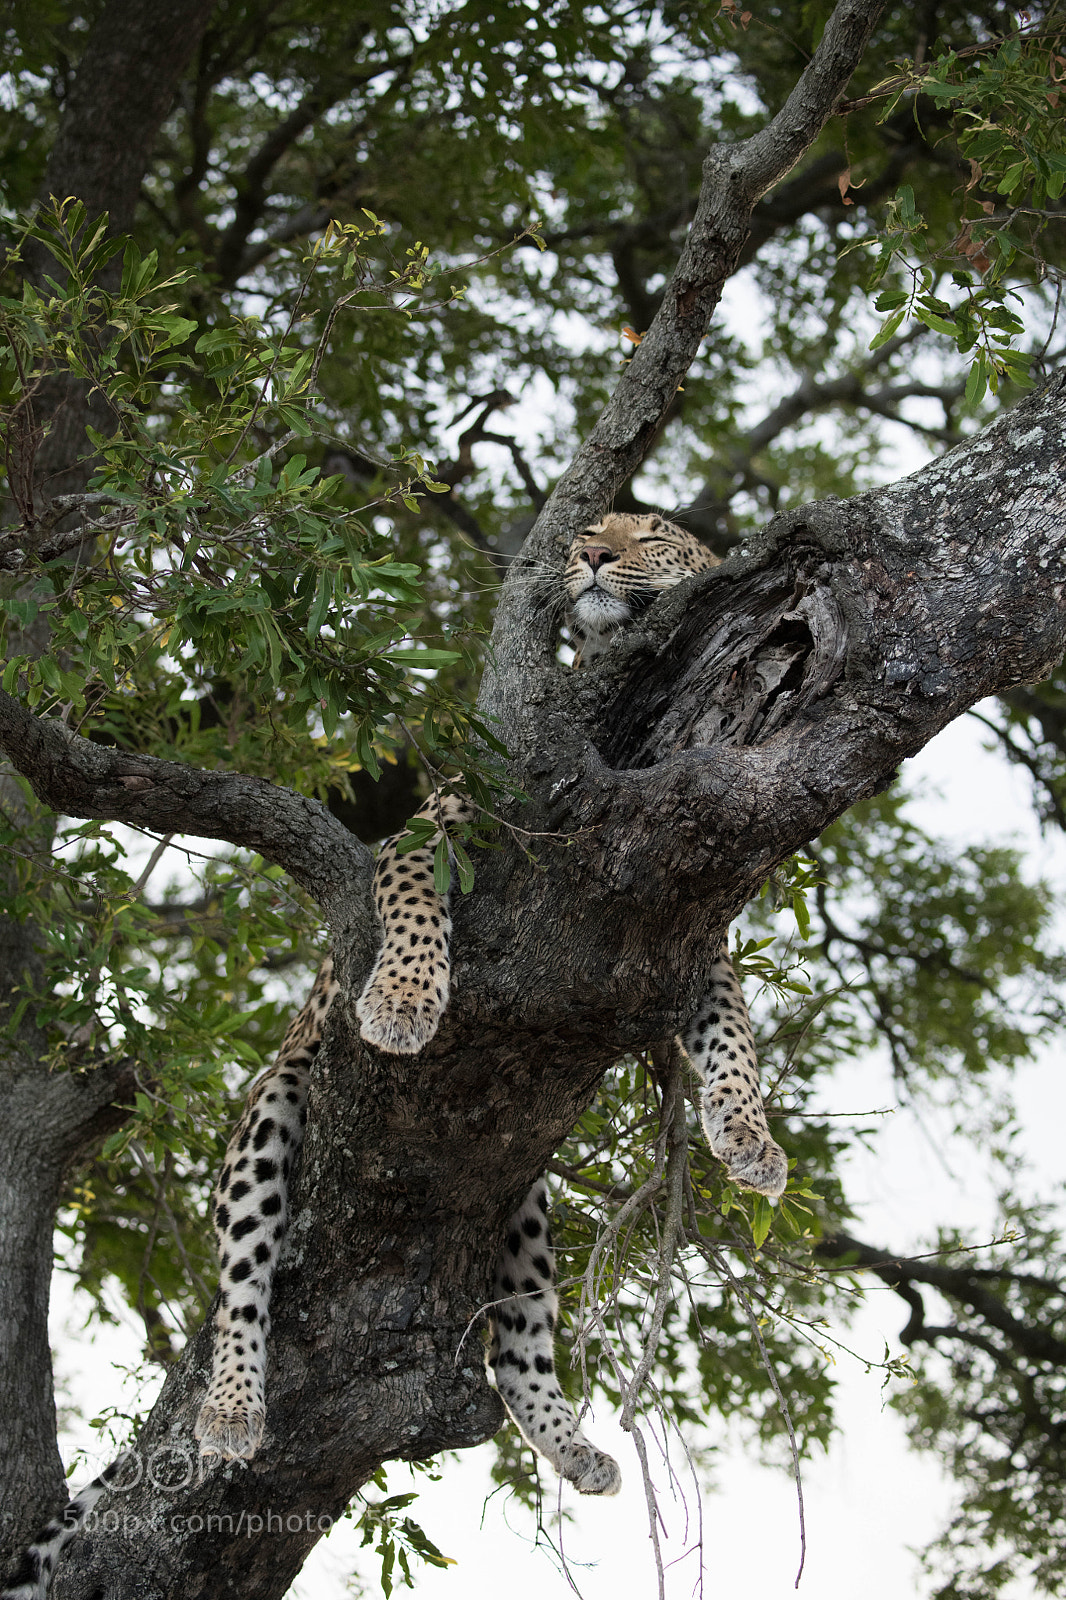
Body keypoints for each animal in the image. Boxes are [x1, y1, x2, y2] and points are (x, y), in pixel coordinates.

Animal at [3, 515, 788, 1599]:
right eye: (599, 527)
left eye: (655, 535)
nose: (590, 550)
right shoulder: (431, 833)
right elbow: (418, 913)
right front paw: (405, 1001)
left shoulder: (688, 938)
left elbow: (733, 1032)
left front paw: (748, 1136)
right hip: (271, 1114)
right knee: (241, 1286)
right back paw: (232, 1409)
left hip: (525, 1200)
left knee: (519, 1343)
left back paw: (571, 1444)